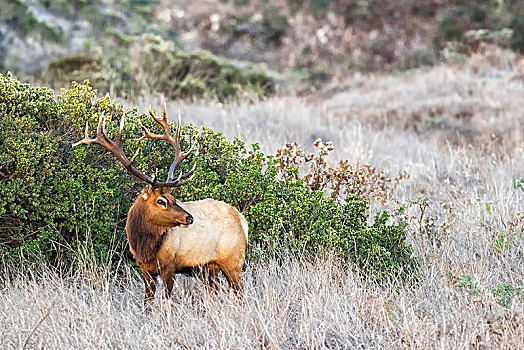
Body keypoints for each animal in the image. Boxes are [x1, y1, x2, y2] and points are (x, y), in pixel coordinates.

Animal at [72, 103, 250, 304]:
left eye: (174, 199)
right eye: (161, 200)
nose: (189, 218)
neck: (144, 246)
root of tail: (242, 220)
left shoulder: (169, 266)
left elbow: (166, 300)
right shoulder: (145, 269)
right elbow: (147, 301)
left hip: (233, 260)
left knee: (239, 293)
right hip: (209, 268)